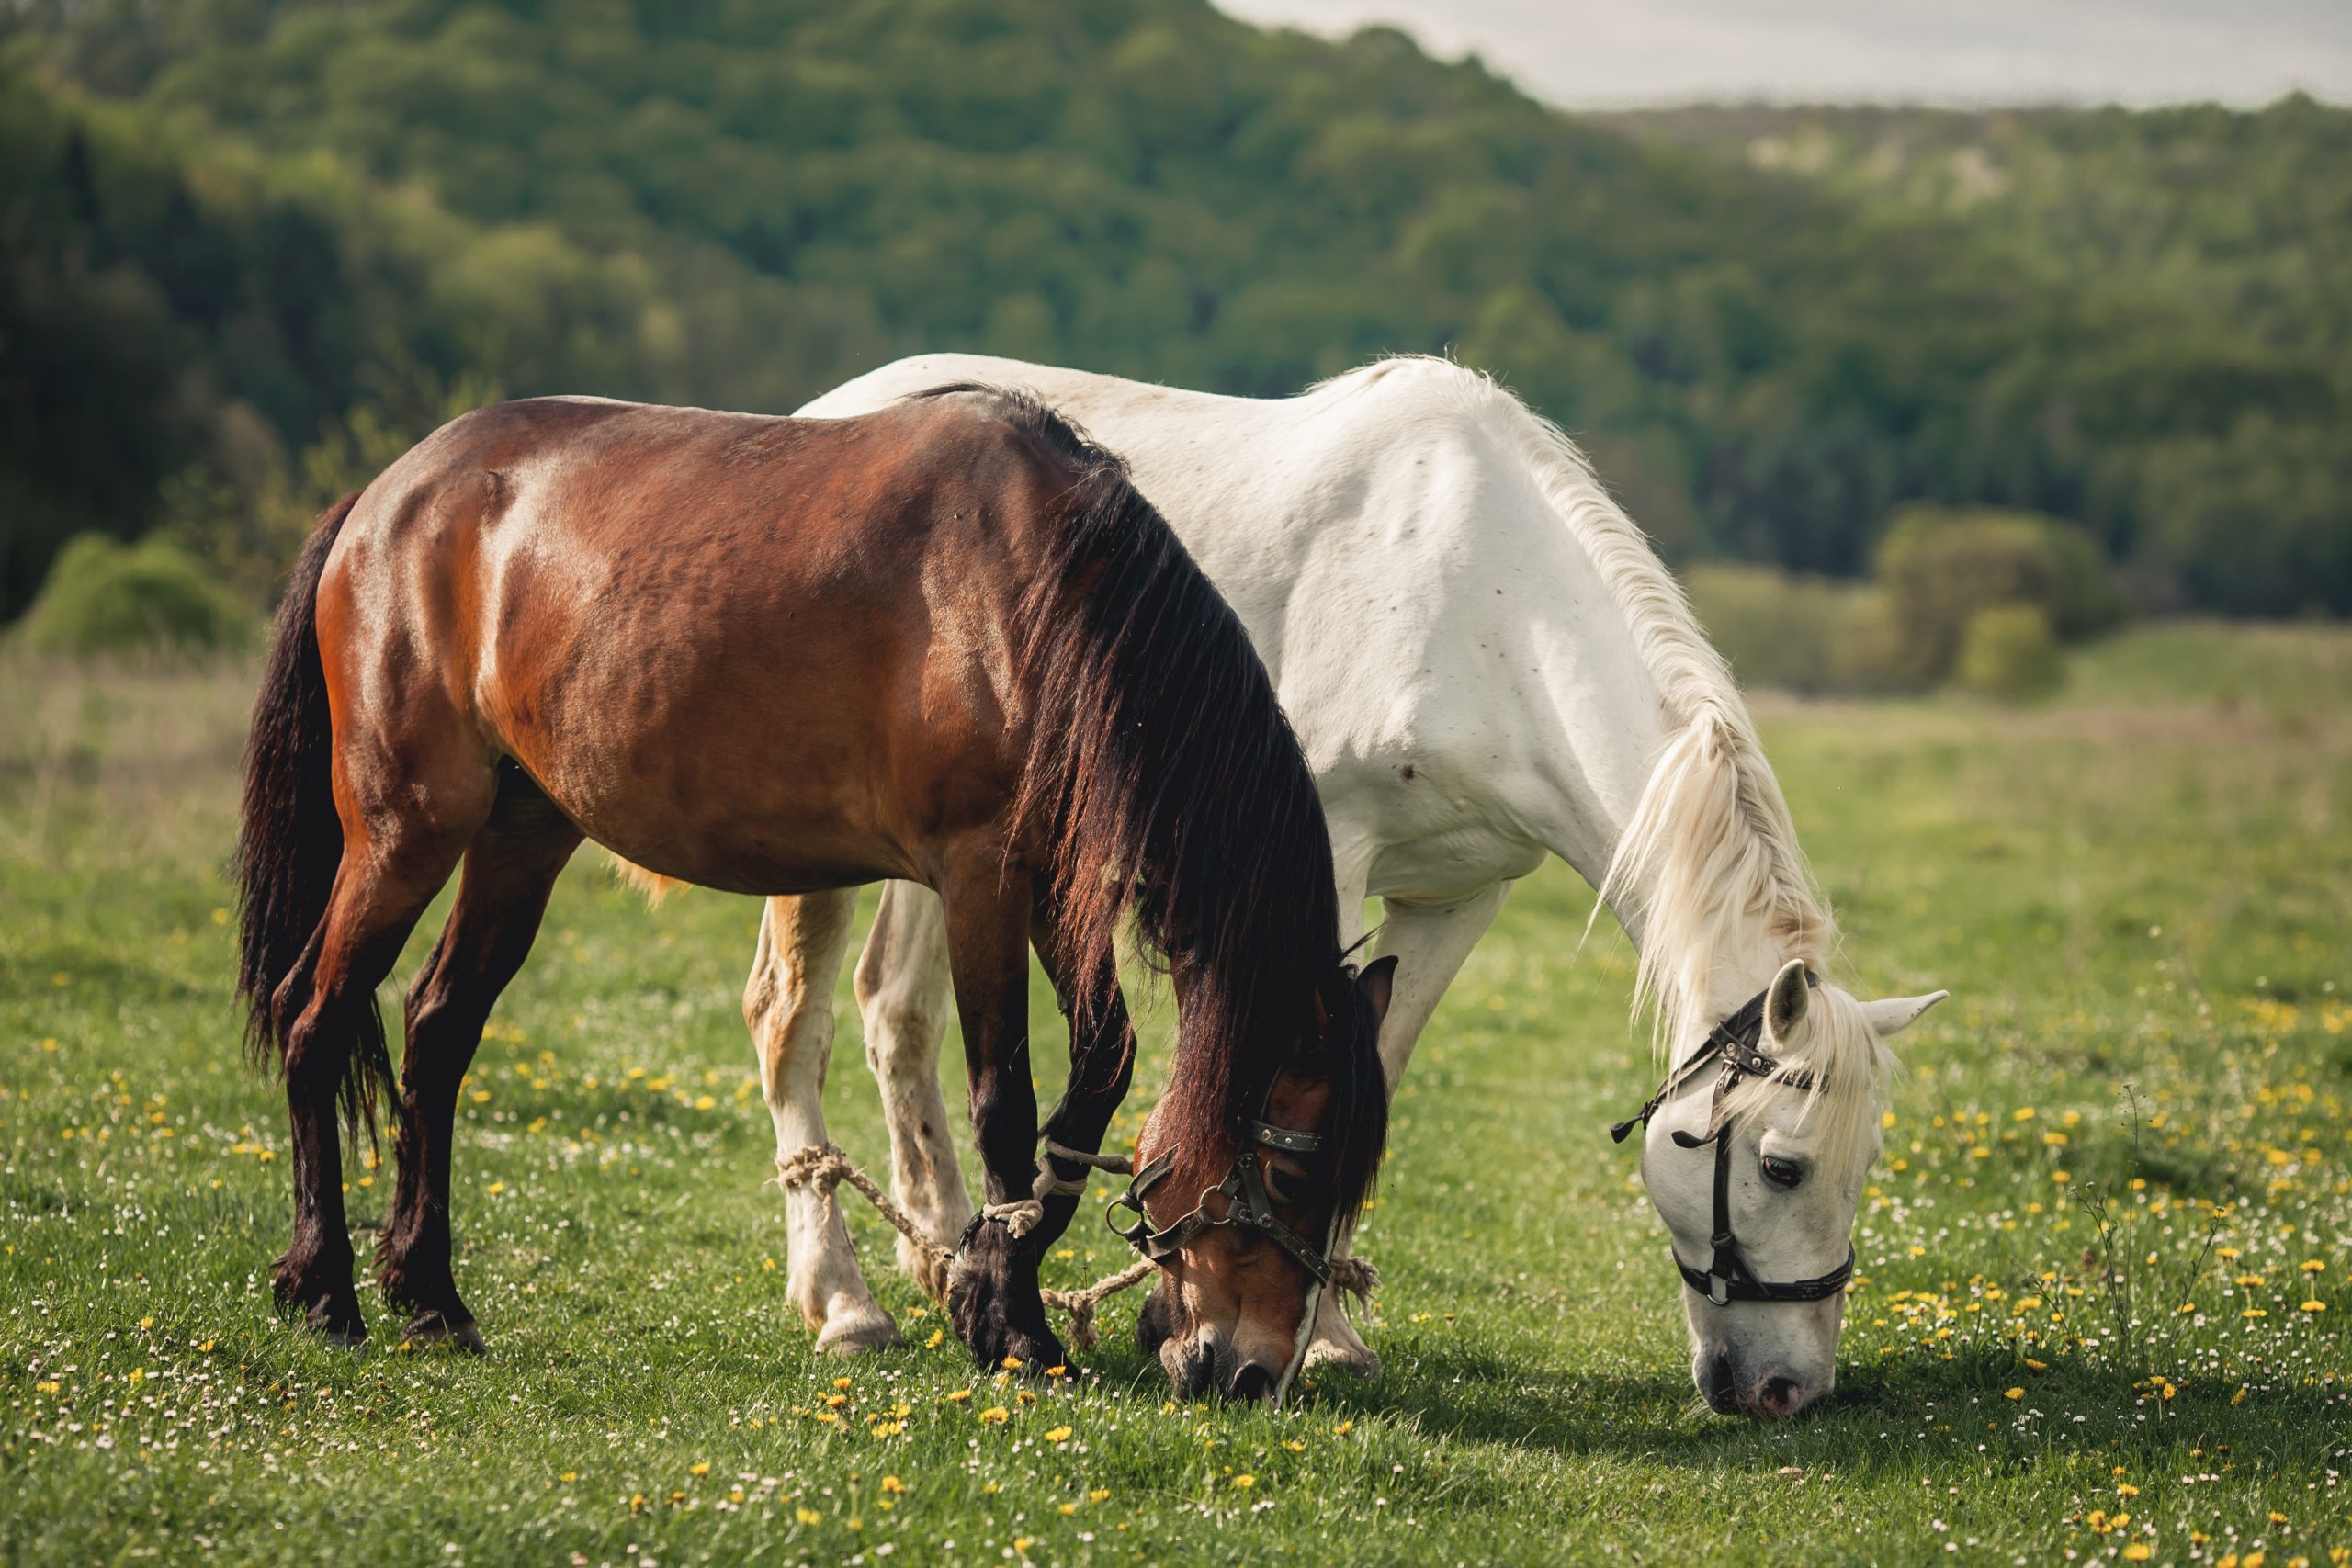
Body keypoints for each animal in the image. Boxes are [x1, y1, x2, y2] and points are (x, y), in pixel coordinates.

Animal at [232, 386, 1393, 1400]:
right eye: (1294, 1177)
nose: (1251, 1373)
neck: (1043, 599)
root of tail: (386, 498)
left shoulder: (1055, 887)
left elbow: (1098, 1072)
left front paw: (985, 1281)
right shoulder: (981, 879)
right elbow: (1005, 1103)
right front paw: (1013, 1325)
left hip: (521, 837)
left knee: (436, 1033)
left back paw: (430, 1298)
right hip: (404, 832)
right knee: (315, 1018)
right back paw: (327, 1290)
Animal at [733, 354, 1947, 1417]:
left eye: (1864, 1164)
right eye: (1781, 1167)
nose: (1788, 1391)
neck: (1488, 611)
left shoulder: (1459, 898)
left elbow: (1376, 1074)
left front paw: (1317, 1326)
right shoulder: (1325, 868)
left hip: (946, 857)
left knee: (898, 1013)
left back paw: (947, 1252)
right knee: (795, 1021)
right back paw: (845, 1303)